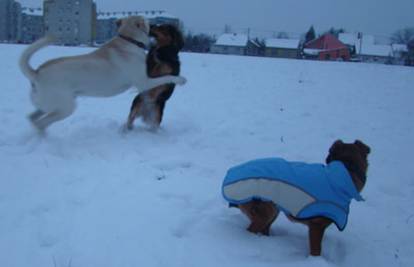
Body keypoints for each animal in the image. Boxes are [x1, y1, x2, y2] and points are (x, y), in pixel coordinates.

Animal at [19, 15, 186, 132]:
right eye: (145, 20)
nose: (153, 23)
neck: (128, 40)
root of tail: (36, 73)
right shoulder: (144, 82)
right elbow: (166, 77)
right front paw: (180, 79)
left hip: (49, 104)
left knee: (32, 117)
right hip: (66, 107)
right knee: (41, 123)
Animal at [222, 140, 370, 258]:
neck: (346, 172)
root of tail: (229, 176)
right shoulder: (317, 226)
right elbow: (316, 250)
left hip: (272, 210)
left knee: (264, 228)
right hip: (266, 211)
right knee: (251, 229)